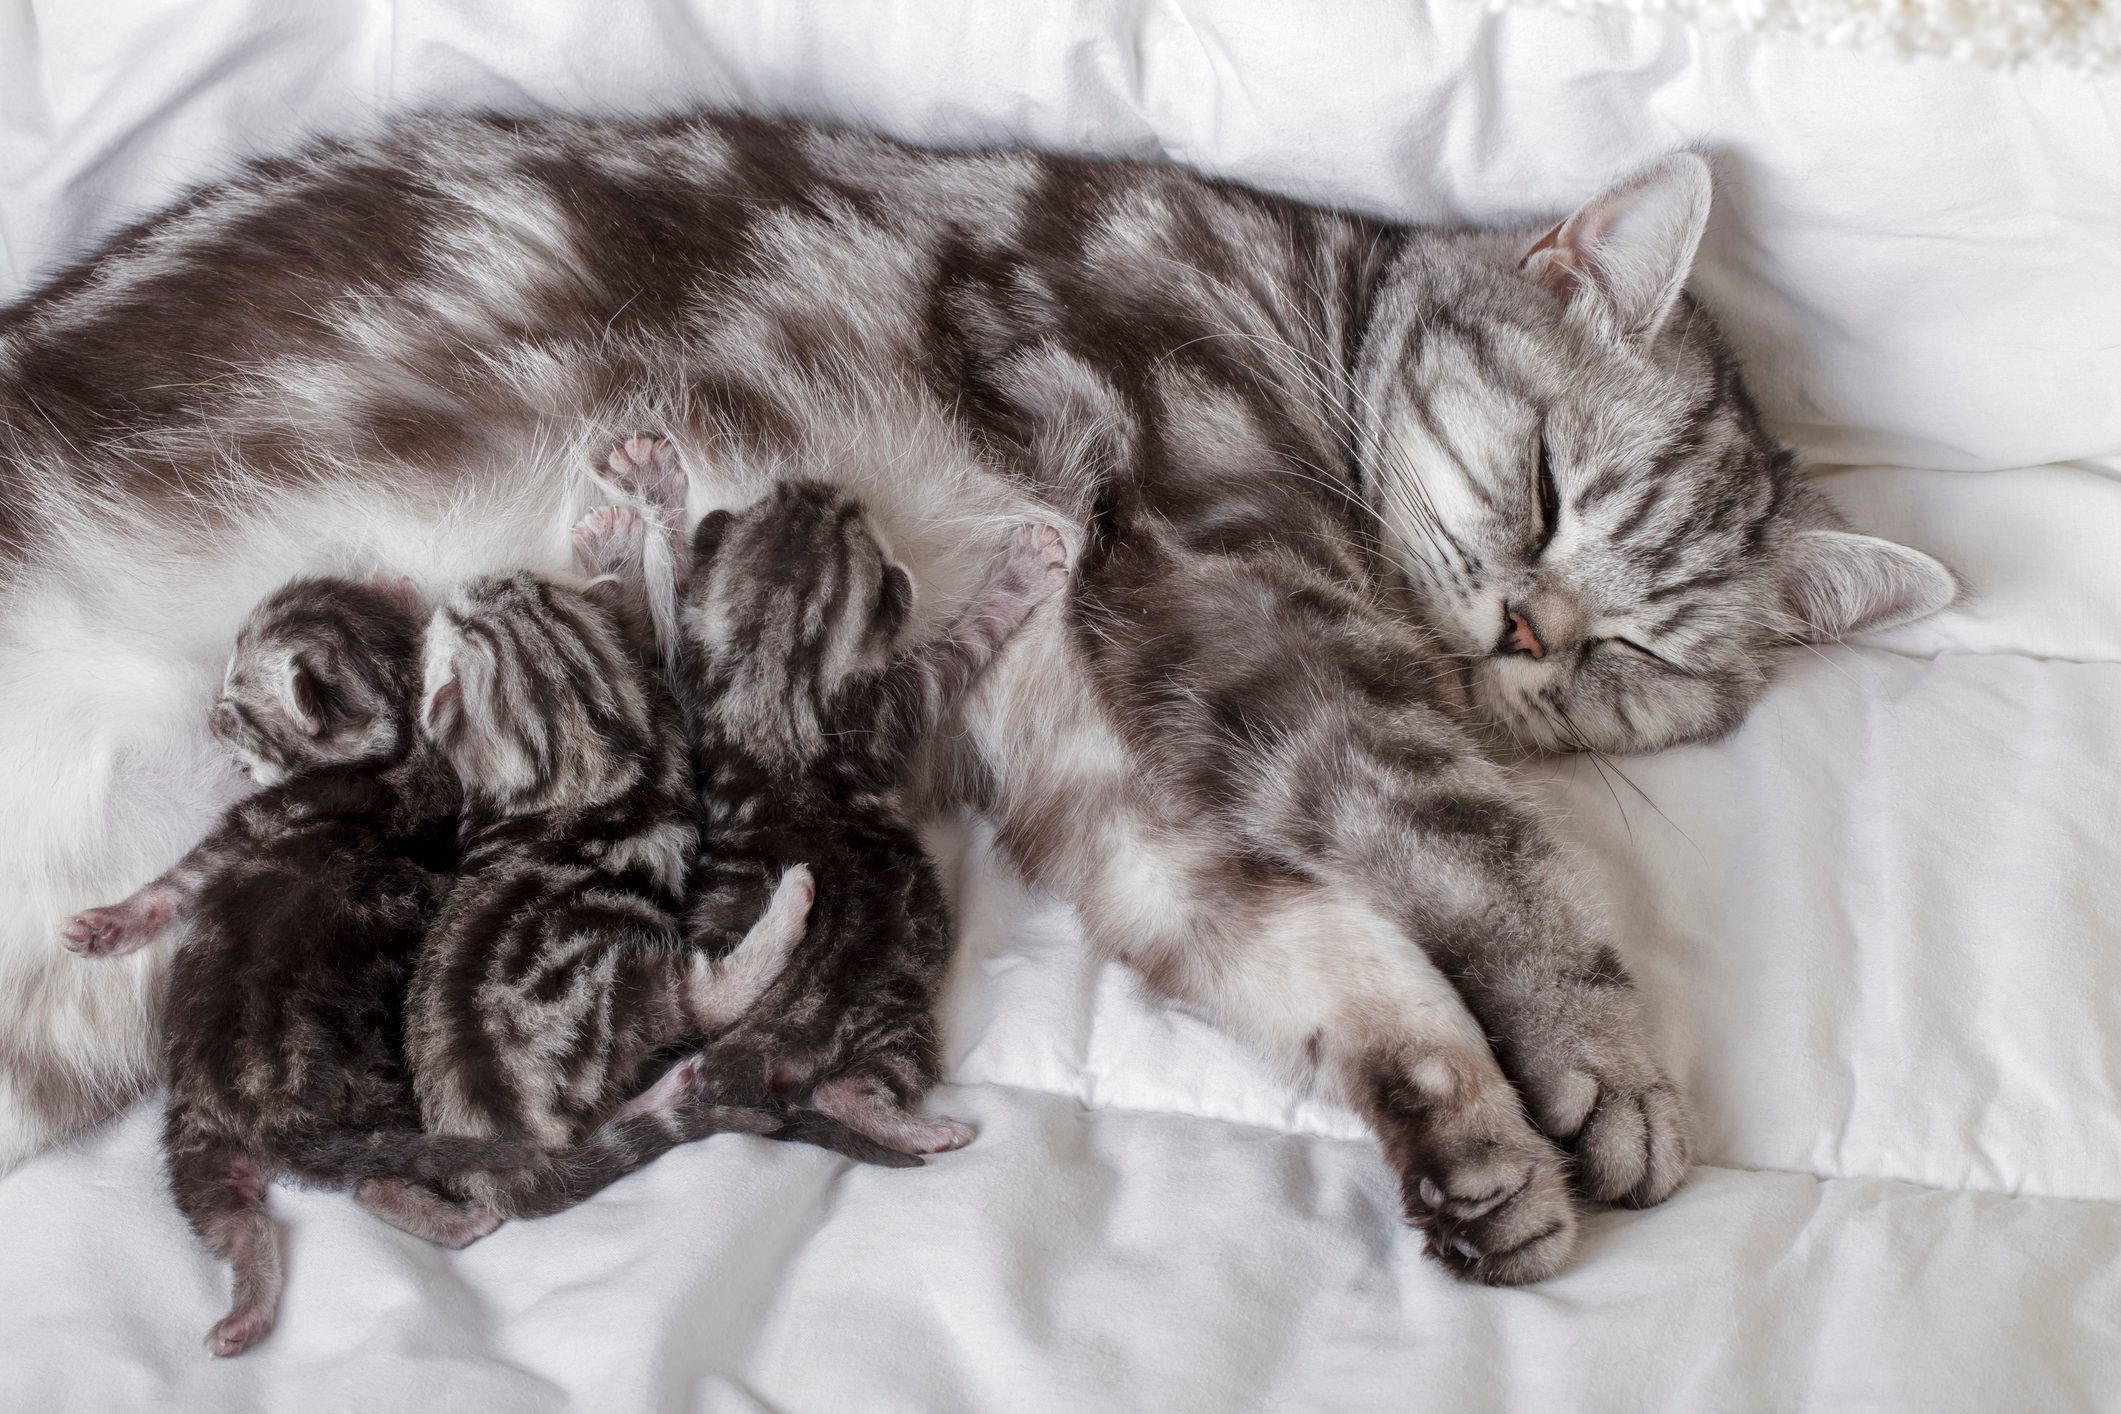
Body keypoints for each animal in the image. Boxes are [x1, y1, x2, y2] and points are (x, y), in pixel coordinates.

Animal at [615, 443, 1077, 1161]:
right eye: (855, 521)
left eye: (779, 499)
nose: (825, 488)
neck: (773, 678)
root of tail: (756, 1044)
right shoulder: (897, 701)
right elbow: (966, 642)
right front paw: (1022, 570)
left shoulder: (694, 672)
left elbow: (682, 583)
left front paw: (657, 489)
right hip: (898, 1016)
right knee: (847, 1090)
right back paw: (920, 1127)